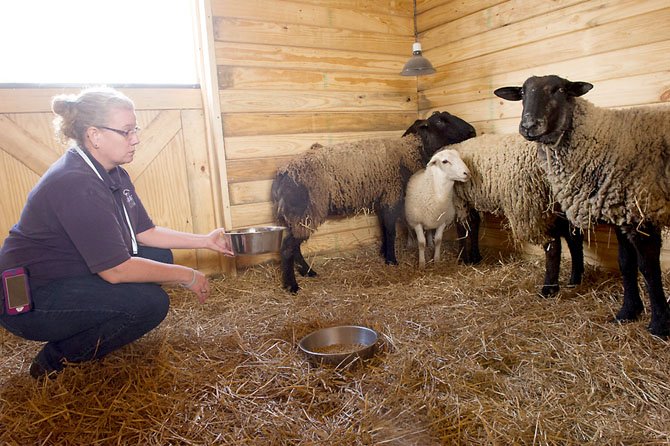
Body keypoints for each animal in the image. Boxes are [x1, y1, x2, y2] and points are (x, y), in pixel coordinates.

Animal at [272, 110, 478, 292]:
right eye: (441, 121)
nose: (472, 131)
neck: (409, 150)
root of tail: (282, 174)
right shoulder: (392, 195)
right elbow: (391, 231)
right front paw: (391, 260)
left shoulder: (382, 198)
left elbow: (384, 228)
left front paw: (383, 253)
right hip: (305, 213)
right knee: (288, 248)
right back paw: (292, 285)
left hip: (295, 217)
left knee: (293, 246)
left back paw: (308, 272)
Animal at [452, 135, 588, 296]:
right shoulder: (469, 201)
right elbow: (472, 227)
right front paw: (474, 257)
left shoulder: (459, 201)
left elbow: (462, 229)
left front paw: (462, 258)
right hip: (563, 205)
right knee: (574, 238)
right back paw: (575, 279)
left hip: (530, 207)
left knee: (553, 245)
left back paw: (548, 289)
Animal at [494, 75, 670, 336]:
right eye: (523, 92)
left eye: (559, 89)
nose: (528, 125)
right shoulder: (620, 213)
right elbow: (626, 264)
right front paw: (628, 312)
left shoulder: (642, 213)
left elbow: (649, 269)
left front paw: (659, 324)